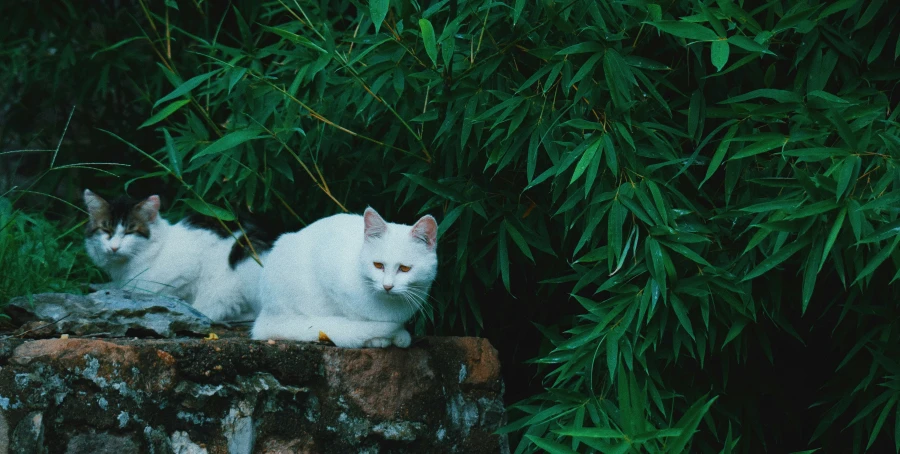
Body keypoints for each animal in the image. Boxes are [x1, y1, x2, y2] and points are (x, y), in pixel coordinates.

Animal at [251, 207, 438, 350]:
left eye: (405, 269)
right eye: (378, 265)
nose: (387, 286)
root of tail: (266, 315)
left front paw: (398, 335)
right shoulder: (327, 269)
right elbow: (354, 315)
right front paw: (379, 338)